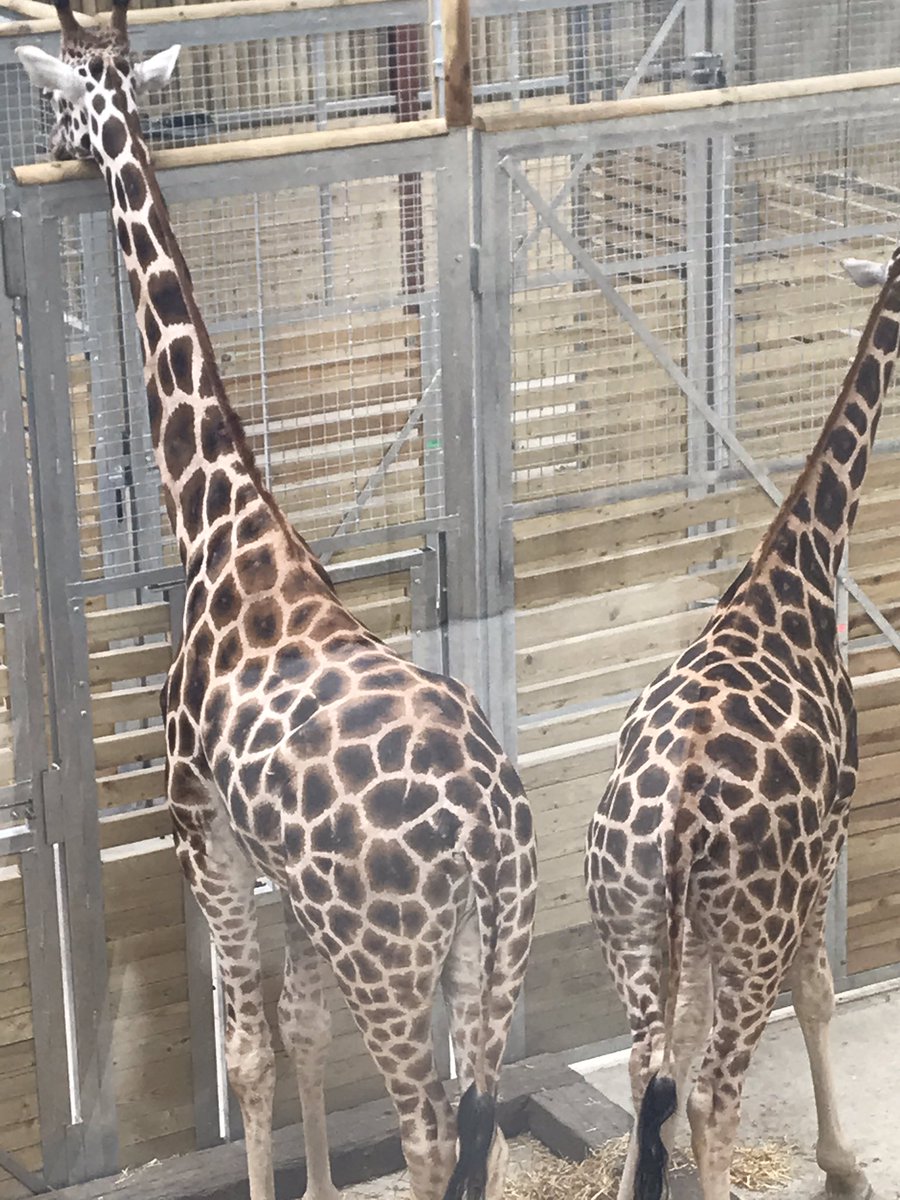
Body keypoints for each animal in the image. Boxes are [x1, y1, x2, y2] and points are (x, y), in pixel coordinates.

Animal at [16, 6, 537, 1200]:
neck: (224, 525)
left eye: (62, 96)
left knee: (431, 1130)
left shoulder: (197, 825)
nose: (57, 145)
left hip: (387, 956)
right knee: (483, 1116)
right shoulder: (287, 884)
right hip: (493, 950)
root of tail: (488, 831)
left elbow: (249, 1052)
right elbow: (299, 1032)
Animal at [583, 248, 900, 1200]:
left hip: (631, 916)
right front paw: (844, 1166)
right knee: (710, 1094)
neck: (796, 567)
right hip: (754, 930)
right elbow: (821, 995)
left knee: (647, 1066)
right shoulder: (833, 836)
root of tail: (683, 813)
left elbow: (674, 1047)